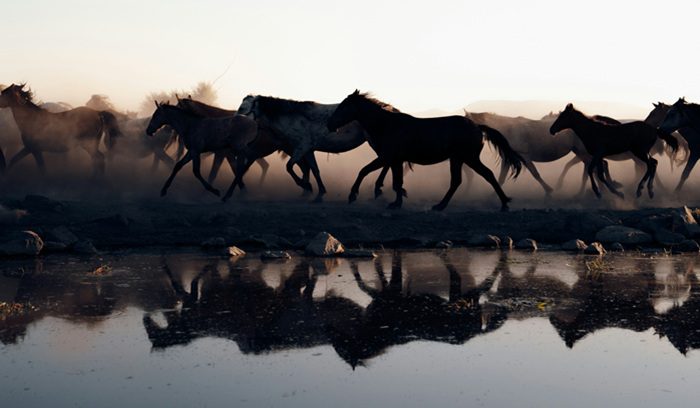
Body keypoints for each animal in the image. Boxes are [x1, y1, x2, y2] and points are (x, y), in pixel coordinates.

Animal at [327, 90, 524, 211]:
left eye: (343, 106)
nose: (329, 125)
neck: (387, 125)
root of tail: (477, 127)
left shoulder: (387, 157)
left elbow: (365, 171)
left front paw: (353, 195)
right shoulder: (394, 160)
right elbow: (396, 181)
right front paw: (396, 202)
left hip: (468, 158)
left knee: (486, 175)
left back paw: (504, 204)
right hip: (458, 159)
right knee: (457, 181)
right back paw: (440, 206)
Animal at [550, 103, 678, 199]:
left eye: (562, 117)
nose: (551, 130)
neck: (591, 130)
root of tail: (654, 129)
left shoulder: (598, 154)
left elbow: (594, 171)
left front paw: (604, 192)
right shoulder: (599, 156)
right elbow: (598, 173)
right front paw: (610, 192)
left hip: (639, 152)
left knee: (651, 164)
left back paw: (642, 190)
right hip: (641, 152)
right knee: (653, 163)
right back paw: (648, 190)